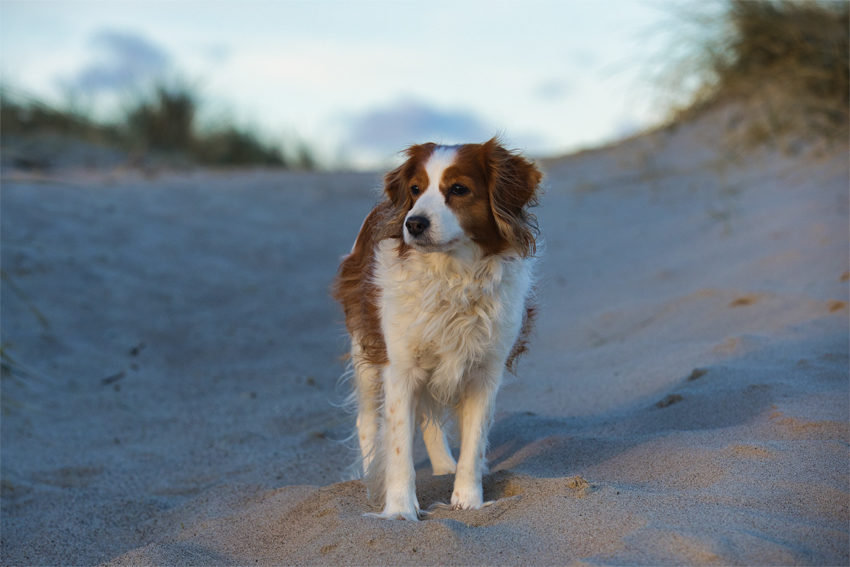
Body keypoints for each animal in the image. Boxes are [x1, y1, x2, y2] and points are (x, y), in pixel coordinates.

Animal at [332, 136, 544, 520]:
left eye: (459, 189)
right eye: (415, 190)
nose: (413, 223)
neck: (454, 275)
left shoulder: (484, 372)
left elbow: (474, 442)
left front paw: (468, 500)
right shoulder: (400, 368)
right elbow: (399, 445)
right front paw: (399, 511)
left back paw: (445, 467)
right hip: (366, 352)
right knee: (367, 421)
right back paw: (371, 479)